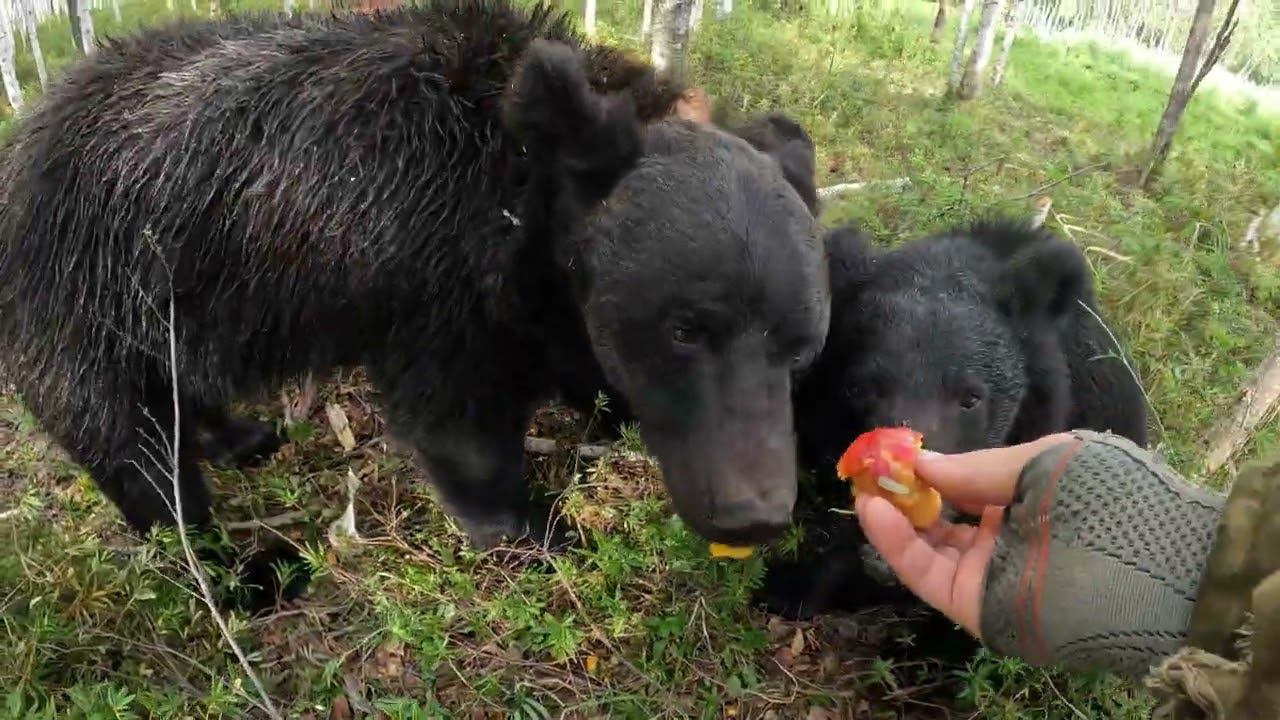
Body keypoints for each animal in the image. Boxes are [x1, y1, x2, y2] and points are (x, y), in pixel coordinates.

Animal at [0, 0, 830, 611]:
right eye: (686, 329)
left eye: (799, 347)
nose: (756, 513)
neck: (516, 199)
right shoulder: (421, 268)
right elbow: (454, 417)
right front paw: (539, 526)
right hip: (83, 292)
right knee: (132, 448)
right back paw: (247, 573)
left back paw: (239, 435)